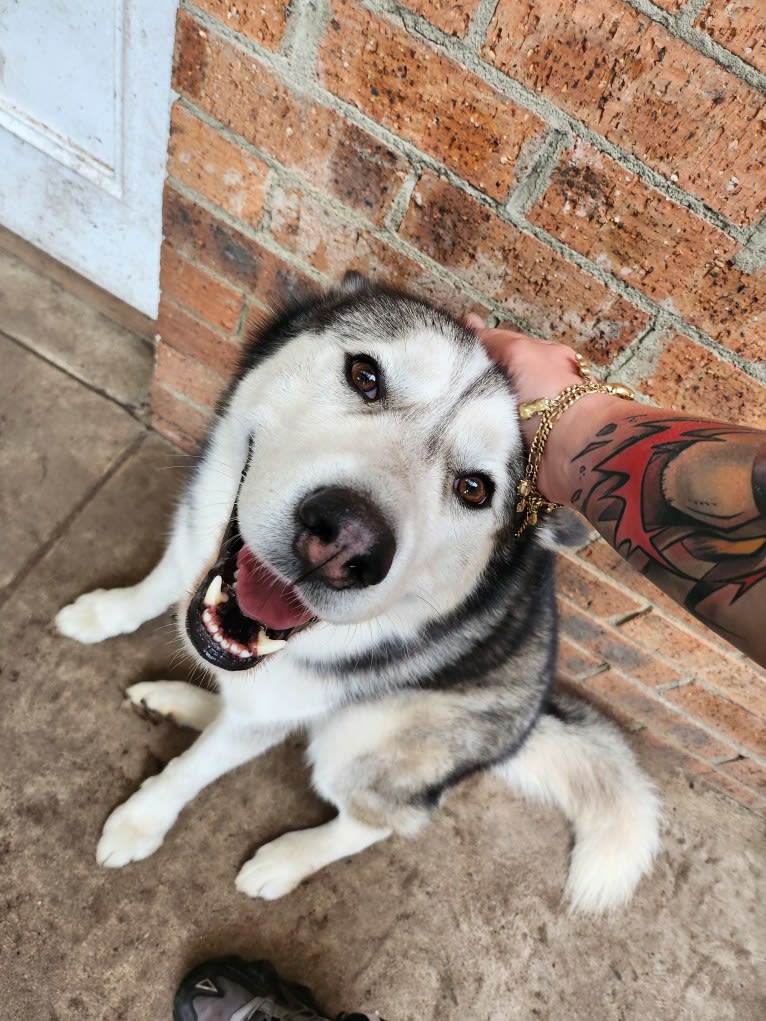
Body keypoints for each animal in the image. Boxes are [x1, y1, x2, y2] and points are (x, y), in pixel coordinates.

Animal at [56, 271, 661, 910]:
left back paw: (286, 859)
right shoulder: (196, 538)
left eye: (474, 489)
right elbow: (159, 584)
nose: (348, 541)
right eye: (365, 375)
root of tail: (533, 717)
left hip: (365, 739)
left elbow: (192, 773)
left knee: (374, 819)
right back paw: (185, 703)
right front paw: (103, 613)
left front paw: (142, 820)